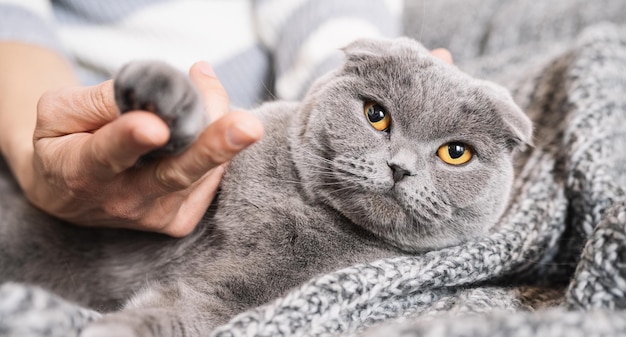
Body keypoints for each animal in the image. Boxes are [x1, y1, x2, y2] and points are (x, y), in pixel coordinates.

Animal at [0, 37, 528, 336]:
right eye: (376, 115)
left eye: (455, 153)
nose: (400, 167)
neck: (306, 211)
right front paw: (159, 96)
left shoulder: (247, 299)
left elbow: (179, 311)